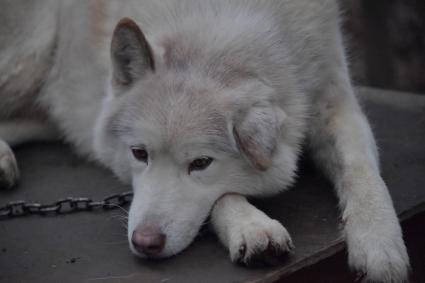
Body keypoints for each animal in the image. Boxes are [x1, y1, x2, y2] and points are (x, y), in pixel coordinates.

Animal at [0, 1, 410, 282]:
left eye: (200, 163)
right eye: (139, 154)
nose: (145, 242)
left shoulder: (334, 98)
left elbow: (361, 169)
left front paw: (380, 243)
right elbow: (224, 196)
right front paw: (252, 227)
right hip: (29, 59)